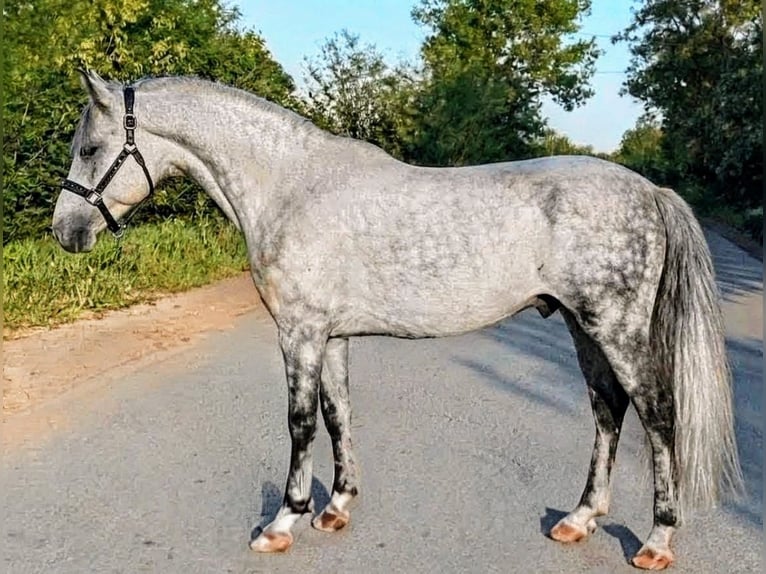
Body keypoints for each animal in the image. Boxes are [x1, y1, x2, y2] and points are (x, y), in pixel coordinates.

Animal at [52, 70, 742, 570]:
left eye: (90, 147)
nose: (65, 232)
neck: (290, 186)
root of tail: (650, 191)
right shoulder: (331, 336)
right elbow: (338, 415)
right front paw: (336, 509)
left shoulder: (299, 333)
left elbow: (300, 423)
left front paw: (283, 522)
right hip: (582, 325)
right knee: (607, 410)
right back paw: (579, 519)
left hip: (617, 328)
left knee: (658, 415)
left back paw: (657, 541)